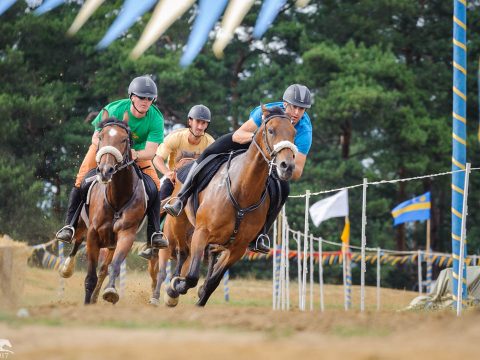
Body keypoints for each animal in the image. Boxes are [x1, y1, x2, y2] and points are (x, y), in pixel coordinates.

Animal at [58, 112, 145, 304]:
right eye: (100, 137)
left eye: (124, 139)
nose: (106, 170)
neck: (117, 199)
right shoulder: (93, 234)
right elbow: (90, 277)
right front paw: (86, 302)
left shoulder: (126, 235)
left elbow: (113, 267)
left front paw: (110, 291)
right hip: (81, 225)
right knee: (76, 242)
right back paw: (67, 268)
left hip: (111, 244)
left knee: (104, 269)